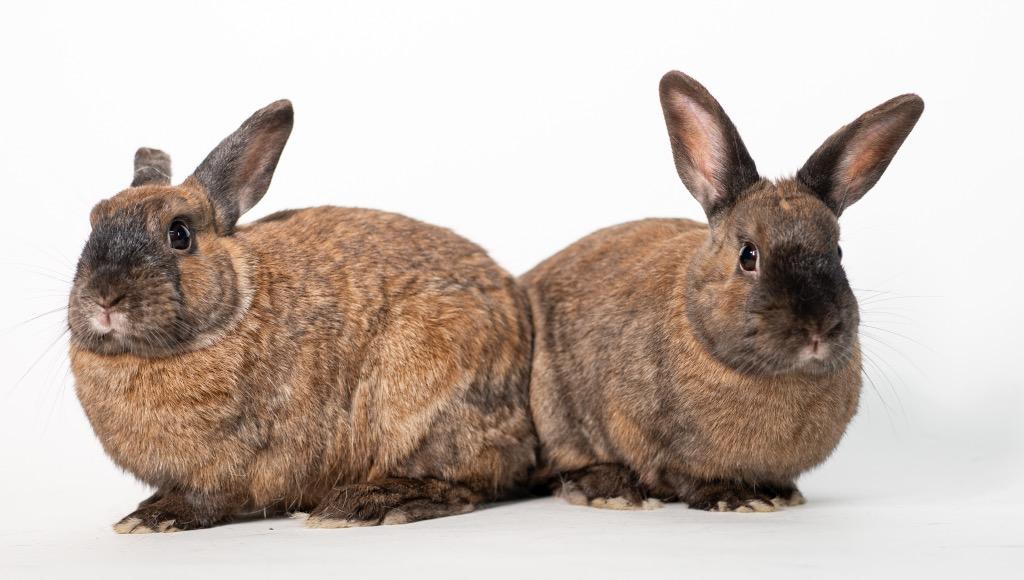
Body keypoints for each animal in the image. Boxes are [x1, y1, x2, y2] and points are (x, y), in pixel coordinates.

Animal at [68, 100, 537, 533]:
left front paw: (154, 516)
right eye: (93, 223)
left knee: (462, 484)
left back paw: (363, 505)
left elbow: (211, 497)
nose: (105, 298)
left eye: (179, 233)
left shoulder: (237, 459)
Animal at [522, 71, 923, 512]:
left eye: (837, 251)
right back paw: (612, 491)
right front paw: (736, 499)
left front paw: (783, 494)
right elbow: (684, 476)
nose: (817, 329)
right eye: (749, 255)